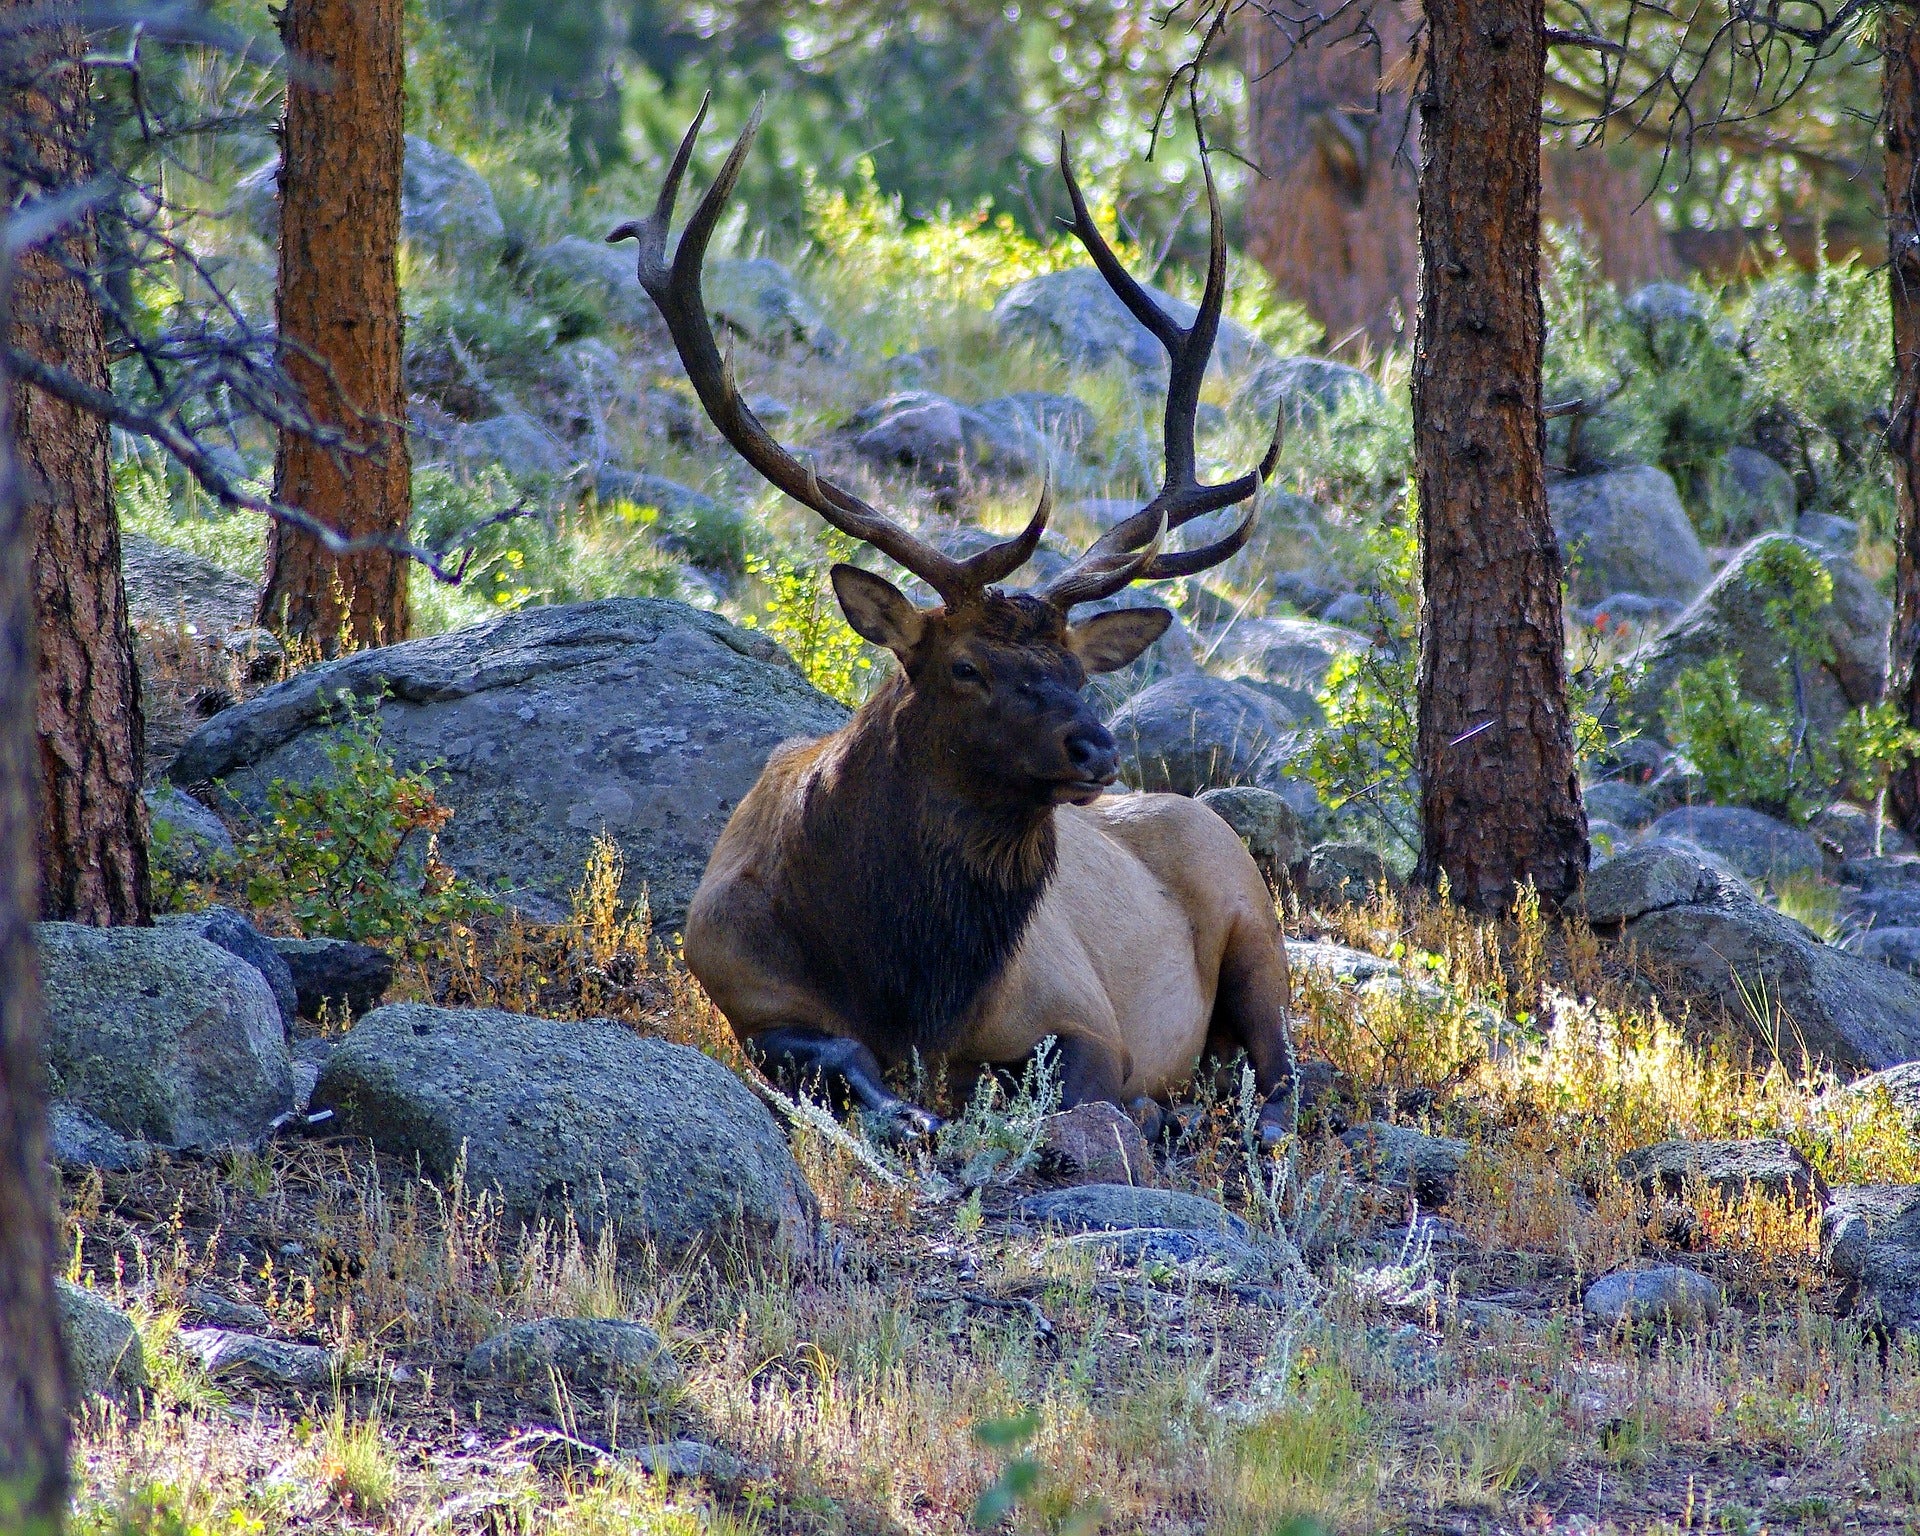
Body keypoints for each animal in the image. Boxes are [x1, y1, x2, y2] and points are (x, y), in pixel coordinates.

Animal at [609, 99, 1295, 1145]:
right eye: (966, 668)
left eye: (1080, 672)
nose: (1096, 747)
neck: (908, 984)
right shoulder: (739, 986)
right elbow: (834, 1056)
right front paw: (908, 1112)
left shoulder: (1082, 1013)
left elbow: (1078, 1088)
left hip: (1254, 914)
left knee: (1290, 1067)